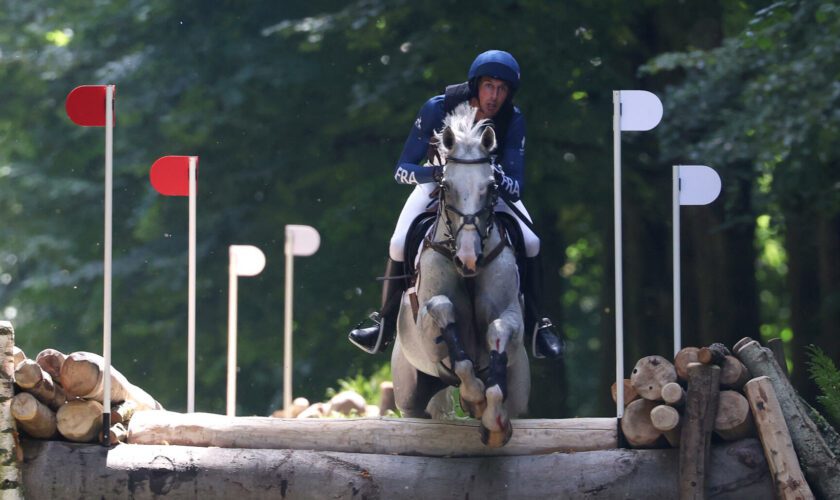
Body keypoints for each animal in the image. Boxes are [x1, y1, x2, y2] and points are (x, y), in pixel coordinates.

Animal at [390, 103, 528, 448]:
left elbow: (499, 332)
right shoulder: (427, 322)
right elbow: (444, 313)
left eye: (491, 187)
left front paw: (494, 422)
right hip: (410, 397)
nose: (469, 259)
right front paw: (474, 398)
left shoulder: (510, 314)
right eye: (445, 186)